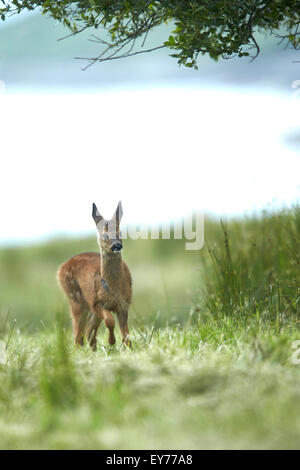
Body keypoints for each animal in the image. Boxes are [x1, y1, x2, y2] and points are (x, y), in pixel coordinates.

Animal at [57, 202, 131, 348]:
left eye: (120, 232)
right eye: (105, 235)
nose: (117, 245)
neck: (113, 290)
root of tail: (61, 268)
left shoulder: (124, 303)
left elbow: (126, 335)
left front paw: (127, 347)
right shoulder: (96, 302)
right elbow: (110, 321)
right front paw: (111, 341)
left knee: (87, 331)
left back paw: (93, 348)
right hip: (75, 298)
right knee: (77, 333)